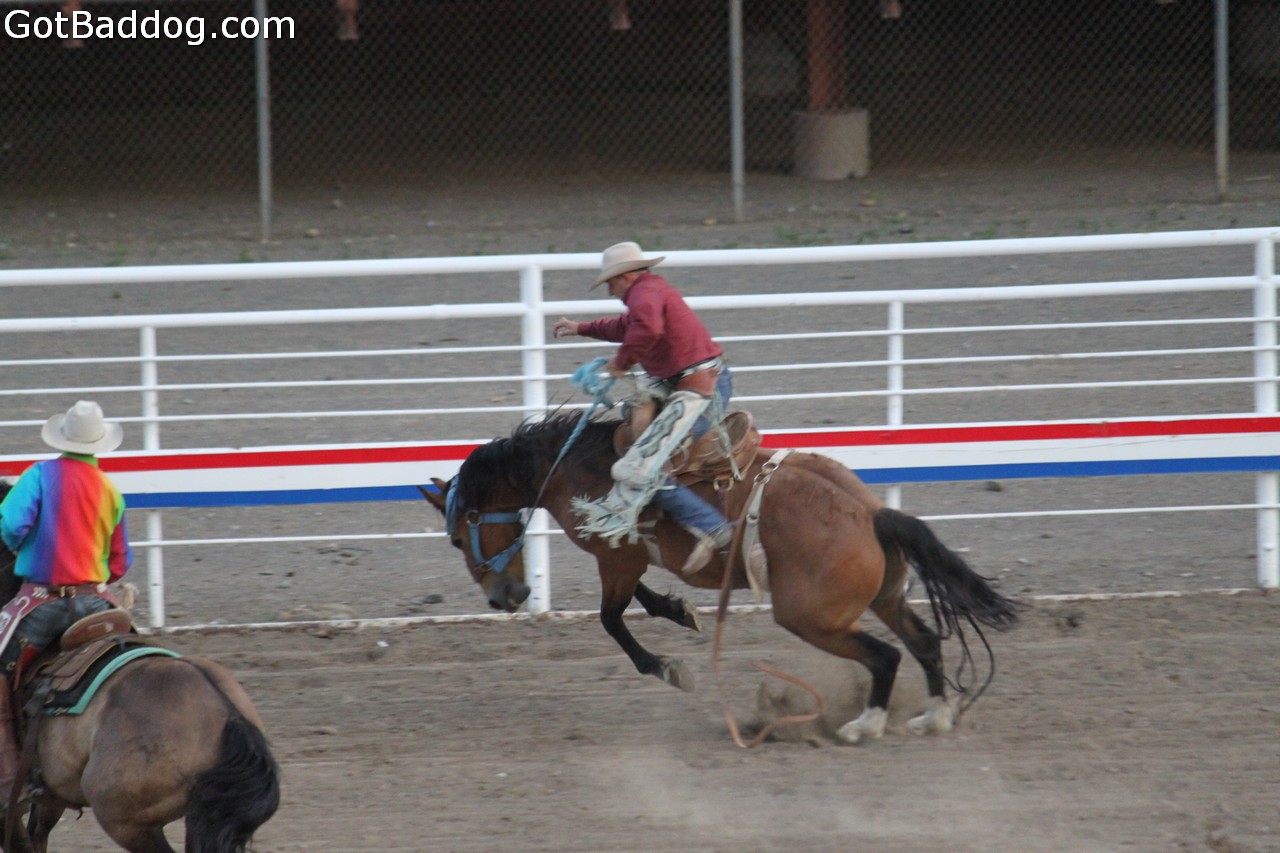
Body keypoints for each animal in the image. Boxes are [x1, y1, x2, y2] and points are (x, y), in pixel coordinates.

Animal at [421, 411, 1020, 744]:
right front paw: (679, 612)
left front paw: (669, 668)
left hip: (811, 617)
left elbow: (612, 619)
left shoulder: (617, 559)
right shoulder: (625, 562)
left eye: (457, 539)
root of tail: (871, 513)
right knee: (925, 642)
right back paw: (933, 717)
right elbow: (638, 601)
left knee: (887, 655)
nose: (507, 597)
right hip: (884, 597)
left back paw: (863, 725)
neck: (575, 469)